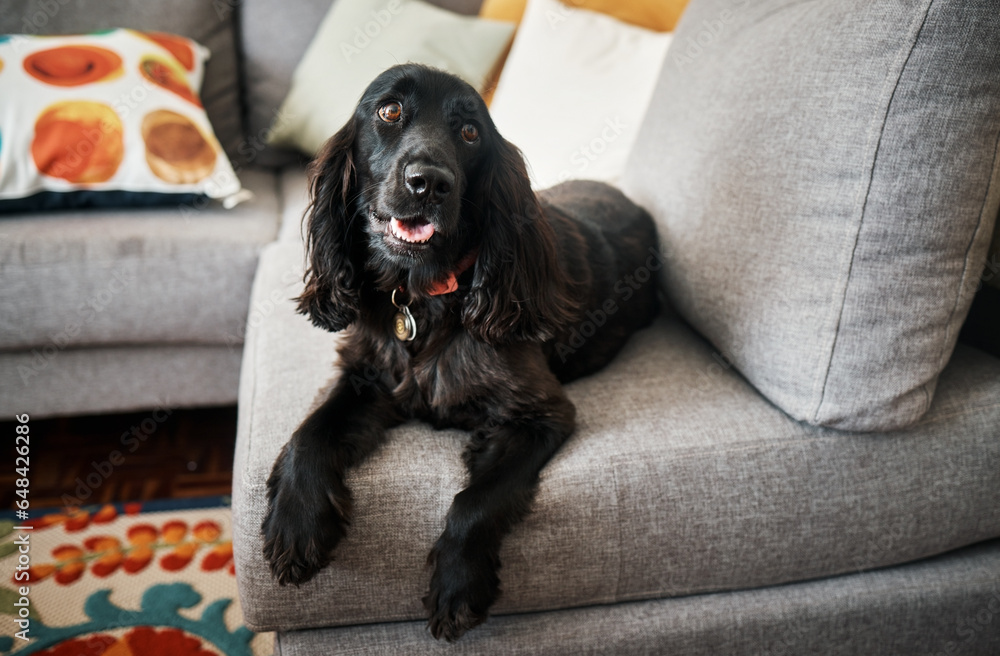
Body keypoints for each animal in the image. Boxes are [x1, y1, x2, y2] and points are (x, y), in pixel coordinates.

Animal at [262, 65, 660, 640]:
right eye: (388, 111)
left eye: (471, 133)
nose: (428, 183)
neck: (424, 296)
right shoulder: (365, 375)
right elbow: (308, 434)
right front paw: (296, 524)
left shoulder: (542, 414)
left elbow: (477, 500)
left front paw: (457, 586)